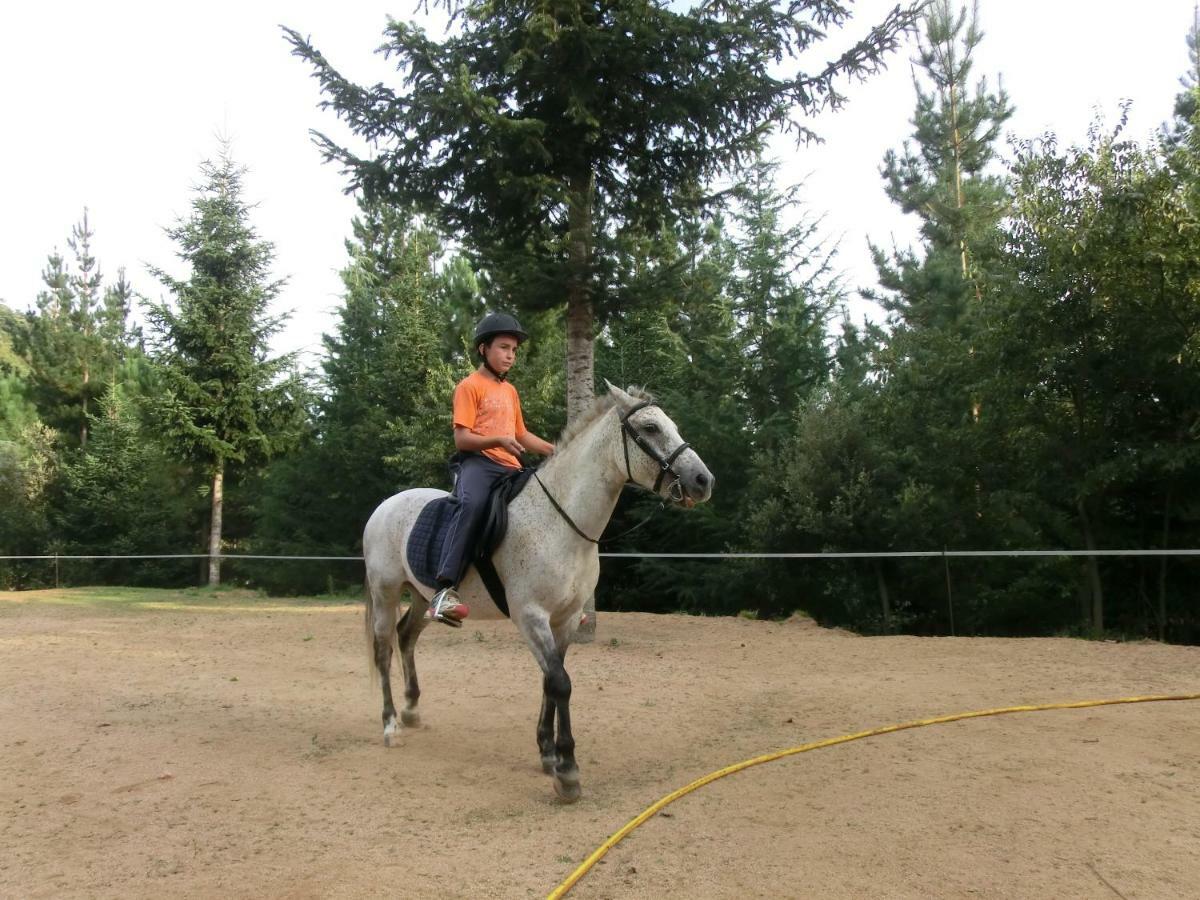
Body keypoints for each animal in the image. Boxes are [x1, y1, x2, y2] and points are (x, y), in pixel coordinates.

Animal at [357, 384, 710, 806]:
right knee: (383, 649)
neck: (561, 523)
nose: (703, 480)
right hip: (386, 592)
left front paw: (547, 753)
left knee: (406, 636)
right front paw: (568, 772)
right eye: (651, 427)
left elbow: (550, 680)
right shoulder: (531, 616)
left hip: (422, 597)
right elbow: (560, 683)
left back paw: (411, 710)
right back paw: (391, 725)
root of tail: (385, 506)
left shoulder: (566, 618)